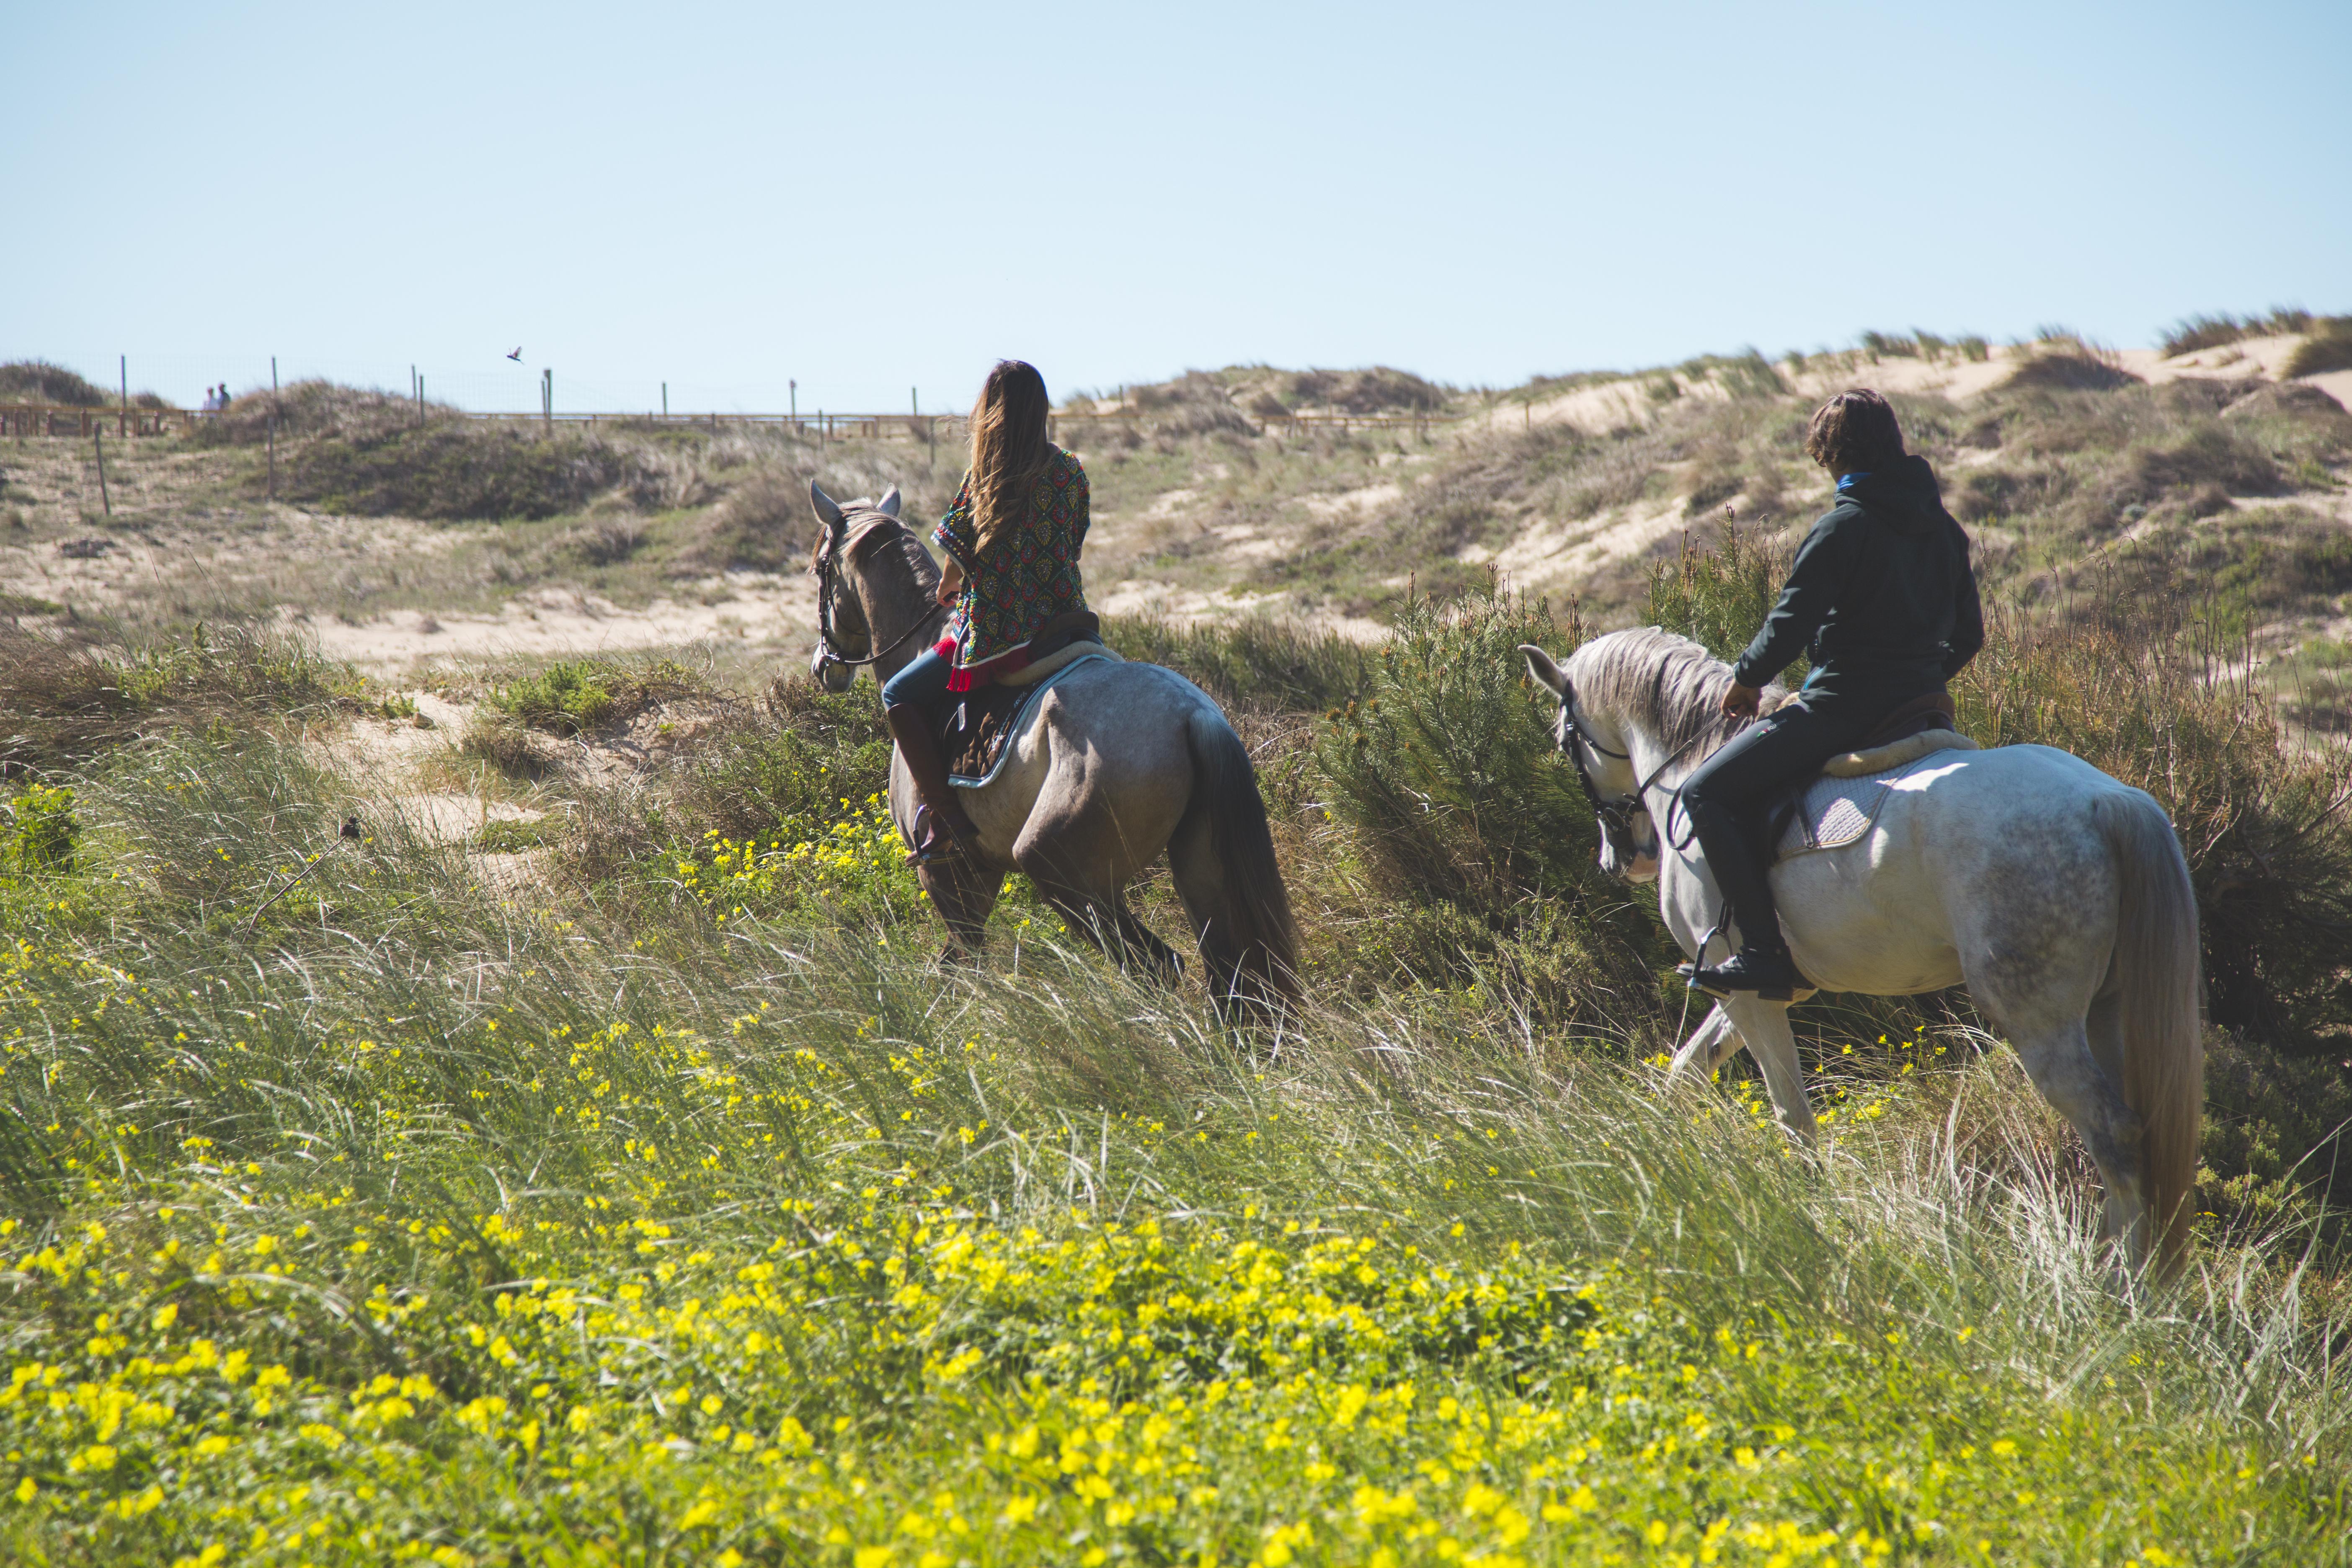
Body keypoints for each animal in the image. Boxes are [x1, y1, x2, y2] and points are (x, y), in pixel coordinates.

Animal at [800, 482, 1298, 1020]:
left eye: (819, 569)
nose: (824, 667)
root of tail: (1191, 714)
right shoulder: (981, 871)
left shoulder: (948, 874)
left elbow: (960, 964)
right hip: (1200, 869)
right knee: (1232, 978)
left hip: (1064, 874)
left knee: (1157, 965)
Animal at [1524, 630, 2201, 1279]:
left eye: (1563, 740)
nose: (1621, 858)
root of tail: (2104, 801)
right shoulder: (1754, 986)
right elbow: (1685, 1072)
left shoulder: (1745, 992)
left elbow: (1791, 1115)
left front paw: (1806, 1212)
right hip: (2106, 1009)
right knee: (2134, 1132)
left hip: (2039, 1019)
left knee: (2111, 1133)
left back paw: (2120, 1287)